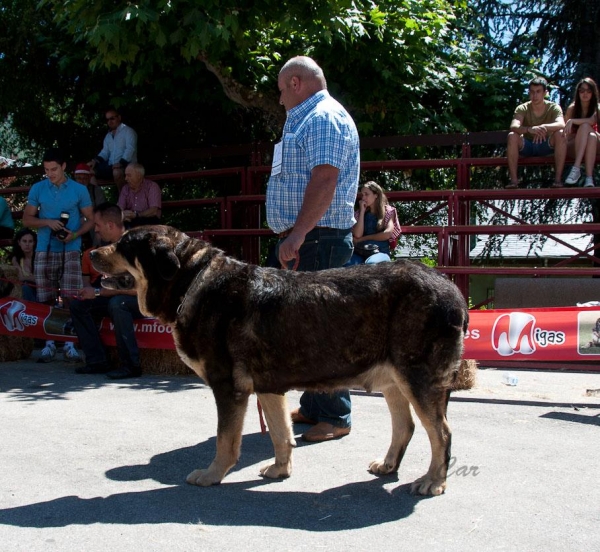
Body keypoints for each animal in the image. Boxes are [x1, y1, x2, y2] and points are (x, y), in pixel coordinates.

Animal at [92, 225, 468, 496]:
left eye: (124, 245)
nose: (91, 251)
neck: (191, 281)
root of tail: (450, 288)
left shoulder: (228, 388)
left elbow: (225, 439)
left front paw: (213, 474)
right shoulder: (268, 388)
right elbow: (280, 433)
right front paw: (281, 469)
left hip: (418, 378)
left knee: (442, 433)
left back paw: (433, 481)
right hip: (394, 380)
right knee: (406, 426)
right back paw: (389, 465)